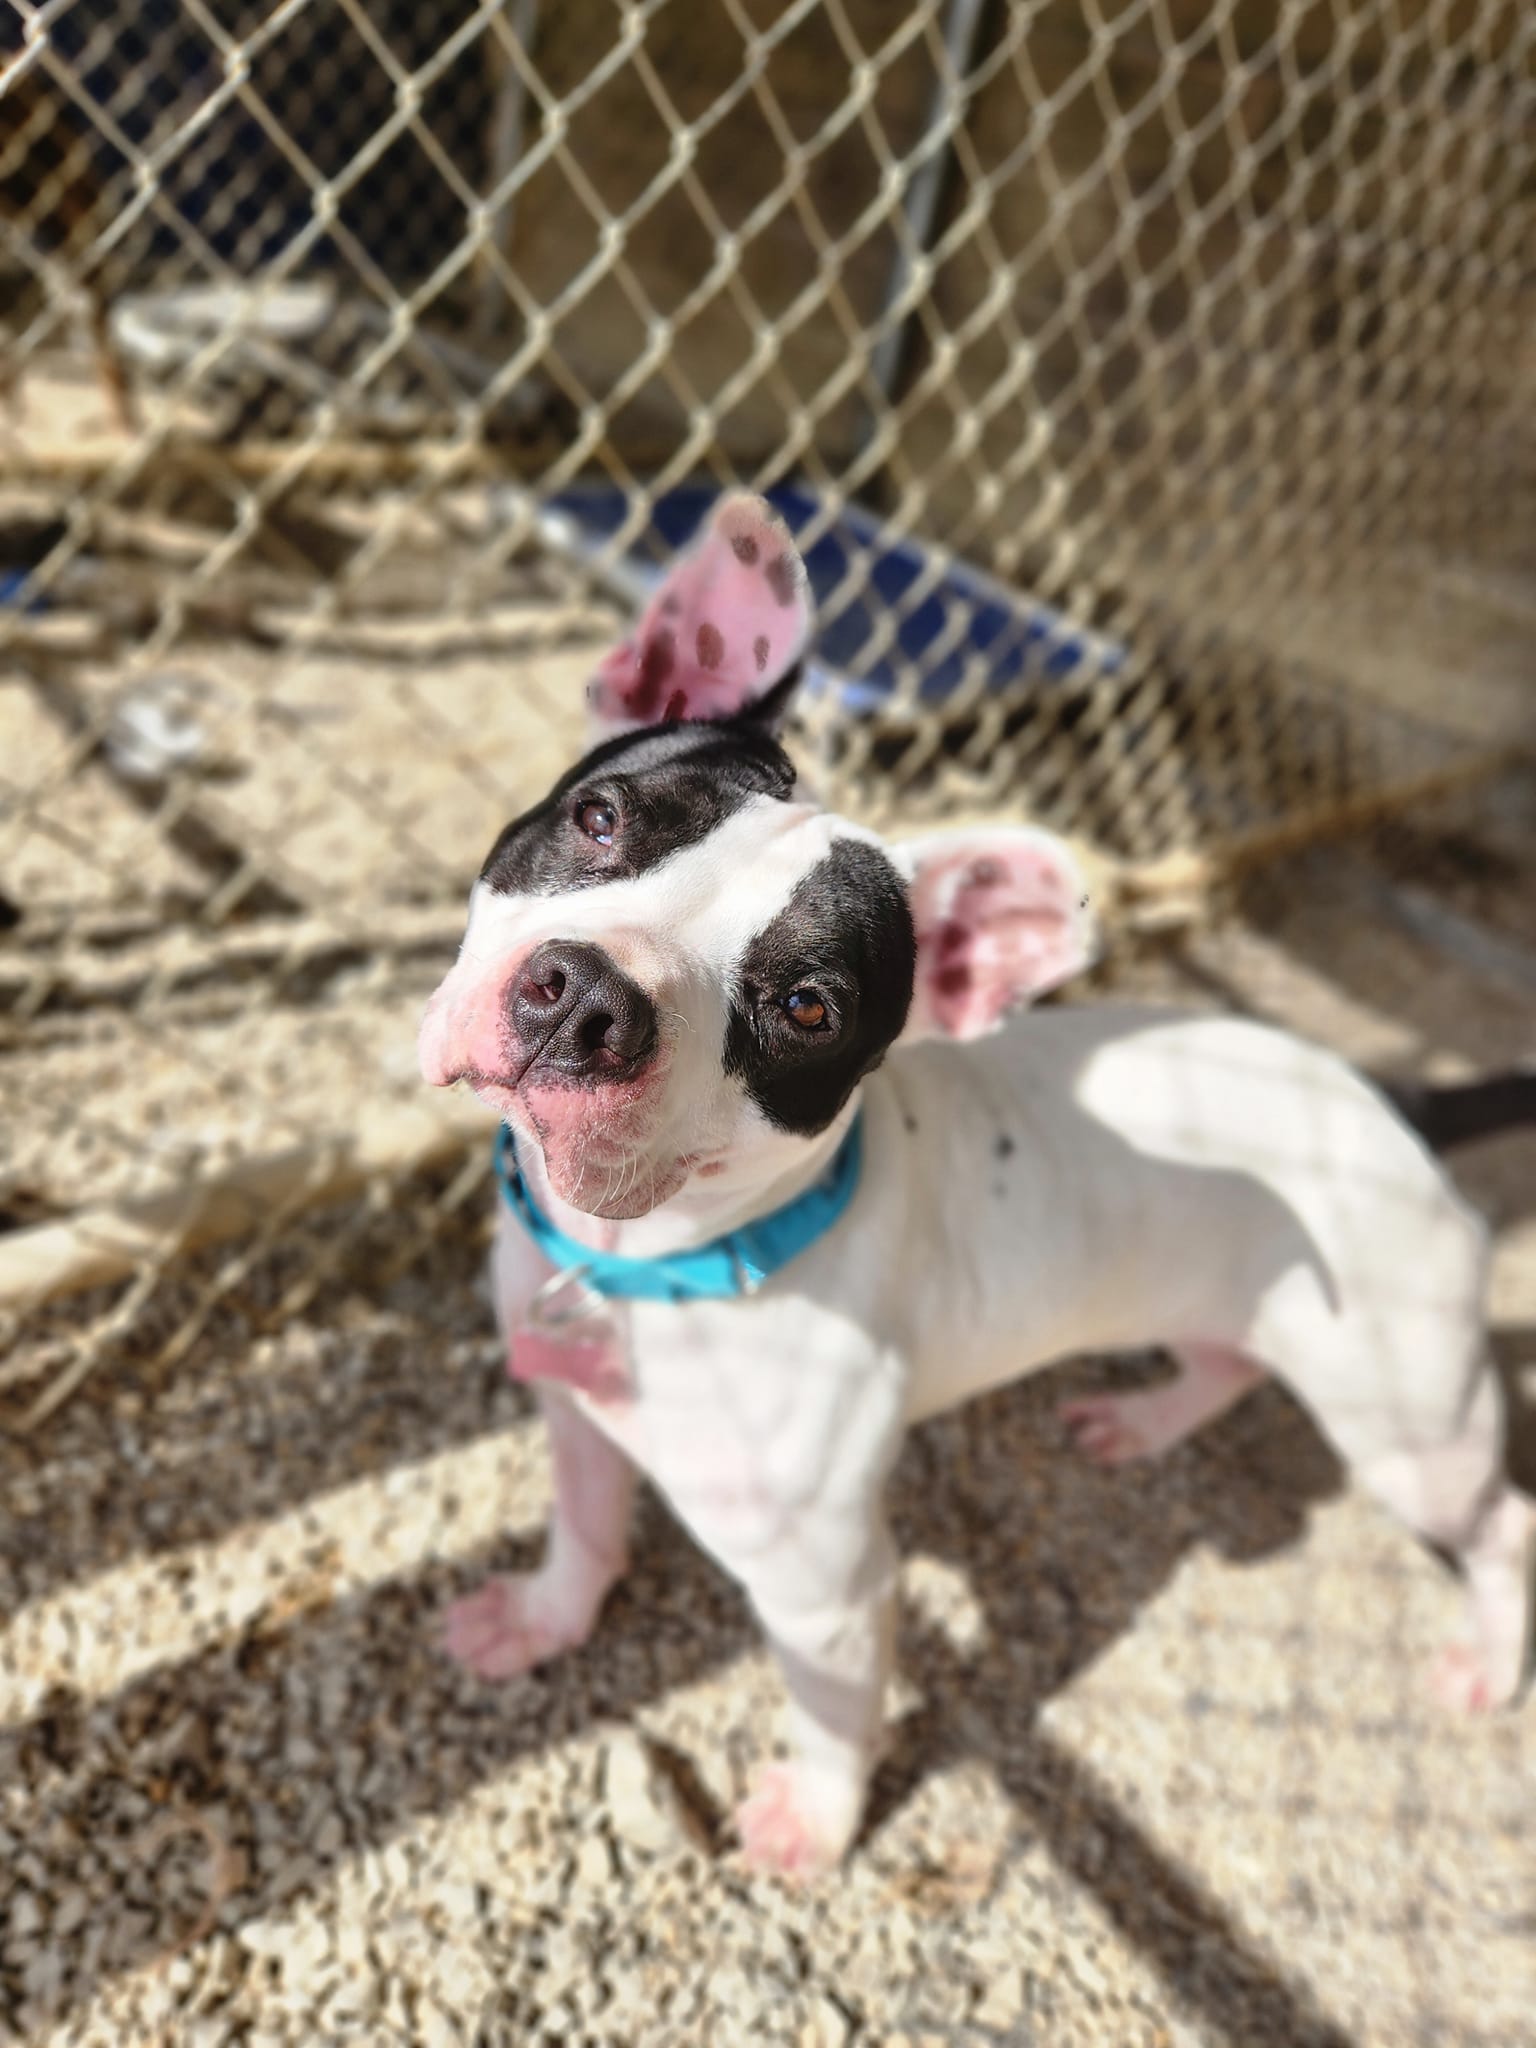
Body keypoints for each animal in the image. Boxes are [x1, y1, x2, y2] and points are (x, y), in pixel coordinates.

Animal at [415, 491, 1531, 1875]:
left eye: (807, 1005)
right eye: (602, 820)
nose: (583, 1001)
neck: (661, 1260)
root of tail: (1391, 1100)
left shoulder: (830, 1591)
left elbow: (833, 1712)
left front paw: (819, 1820)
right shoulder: (574, 1415)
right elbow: (584, 1525)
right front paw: (545, 1618)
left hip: (1411, 1422)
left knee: (1503, 1523)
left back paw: (1489, 1659)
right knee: (1225, 1358)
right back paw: (1147, 1419)